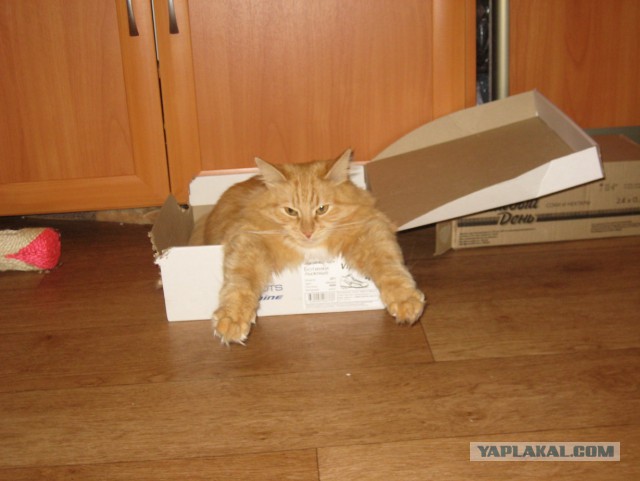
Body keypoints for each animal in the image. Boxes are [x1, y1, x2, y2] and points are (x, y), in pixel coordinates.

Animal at [189, 149, 426, 345]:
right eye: (290, 211)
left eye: (322, 209)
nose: (307, 232)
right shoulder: (247, 239)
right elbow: (240, 283)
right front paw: (232, 319)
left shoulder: (372, 227)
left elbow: (389, 267)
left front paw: (405, 301)